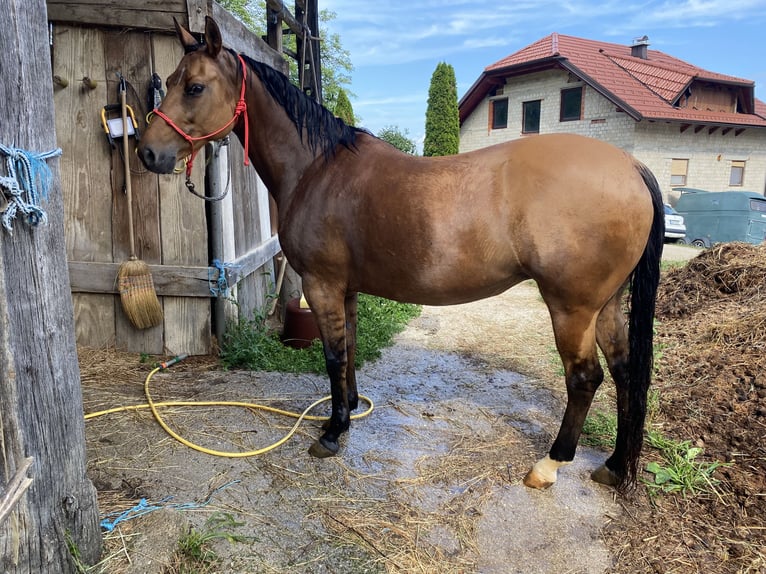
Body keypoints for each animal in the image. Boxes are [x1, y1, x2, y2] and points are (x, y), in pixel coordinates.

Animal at [138, 16, 664, 492]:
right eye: (169, 82)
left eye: (195, 87)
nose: (148, 153)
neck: (317, 169)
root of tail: (630, 165)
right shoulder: (344, 289)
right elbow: (348, 347)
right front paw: (349, 410)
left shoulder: (321, 284)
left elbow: (332, 355)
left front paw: (331, 433)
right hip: (607, 304)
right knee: (624, 371)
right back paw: (614, 466)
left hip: (572, 308)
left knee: (584, 378)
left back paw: (550, 465)